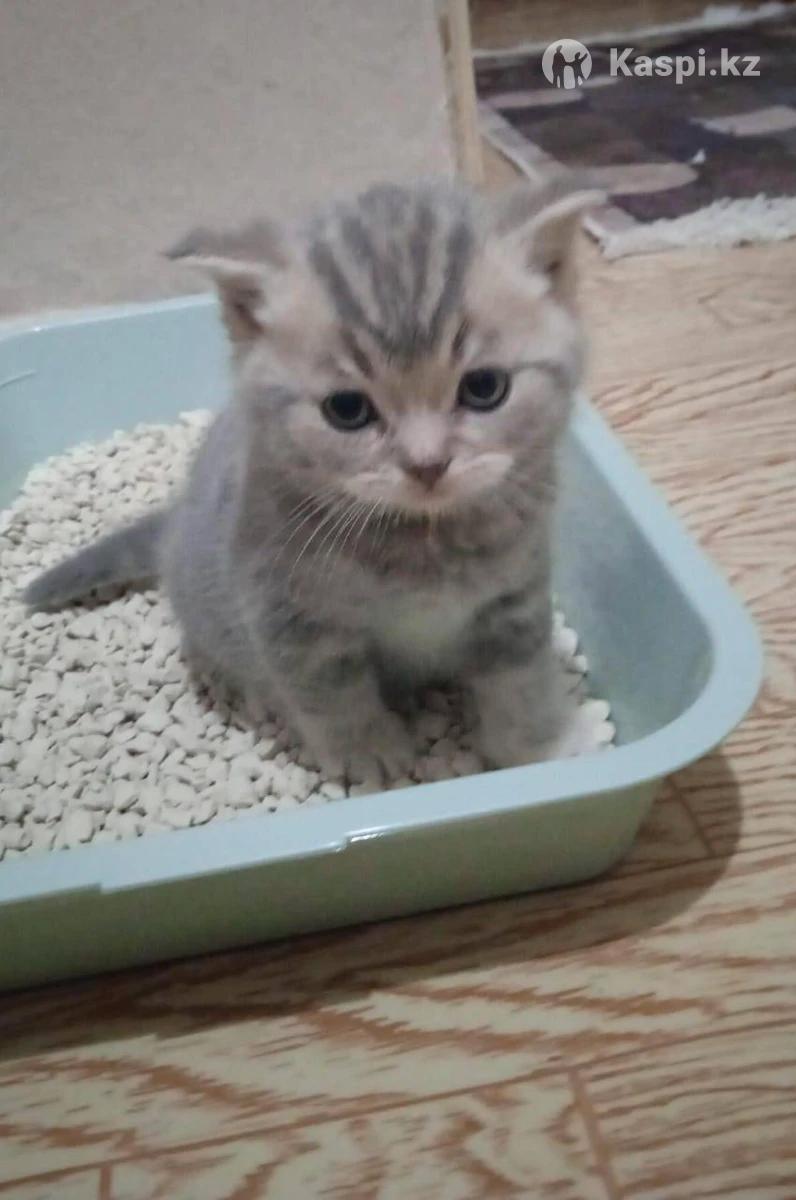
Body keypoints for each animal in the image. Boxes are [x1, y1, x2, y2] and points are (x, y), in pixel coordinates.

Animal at [24, 178, 598, 781]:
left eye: (485, 388)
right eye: (347, 410)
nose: (427, 464)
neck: (422, 543)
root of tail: (176, 520)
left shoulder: (516, 599)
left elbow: (519, 682)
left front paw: (543, 746)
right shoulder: (286, 615)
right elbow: (332, 695)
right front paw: (372, 753)